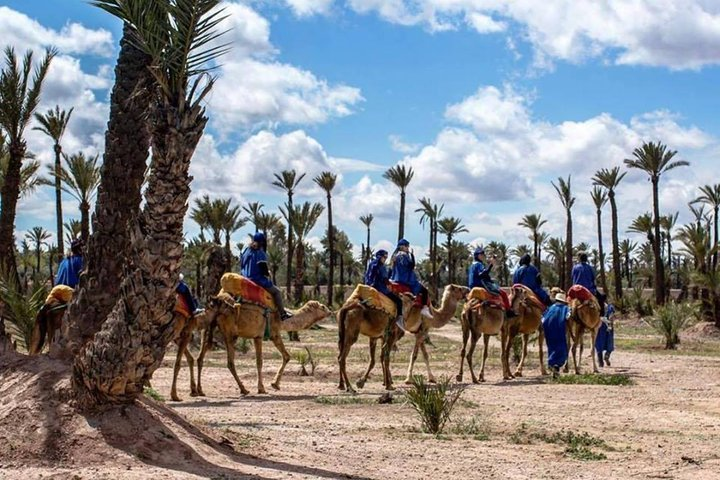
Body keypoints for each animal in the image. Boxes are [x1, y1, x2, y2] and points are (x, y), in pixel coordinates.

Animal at [197, 292, 331, 396]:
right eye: (323, 306)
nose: (330, 311)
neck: (282, 318)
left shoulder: (259, 336)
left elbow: (284, 356)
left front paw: (274, 384)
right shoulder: (268, 334)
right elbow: (263, 361)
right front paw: (266, 387)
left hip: (208, 330)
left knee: (200, 358)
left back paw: (199, 390)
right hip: (229, 335)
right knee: (230, 362)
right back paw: (244, 389)